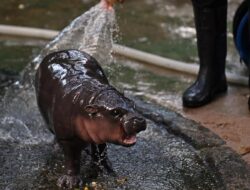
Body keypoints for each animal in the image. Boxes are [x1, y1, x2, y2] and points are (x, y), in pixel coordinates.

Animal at [34, 49, 146, 189]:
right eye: (115, 112)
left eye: (133, 103)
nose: (139, 120)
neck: (90, 99)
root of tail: (60, 51)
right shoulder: (68, 138)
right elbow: (72, 159)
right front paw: (69, 182)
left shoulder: (100, 133)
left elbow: (102, 149)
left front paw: (106, 167)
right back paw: (57, 147)